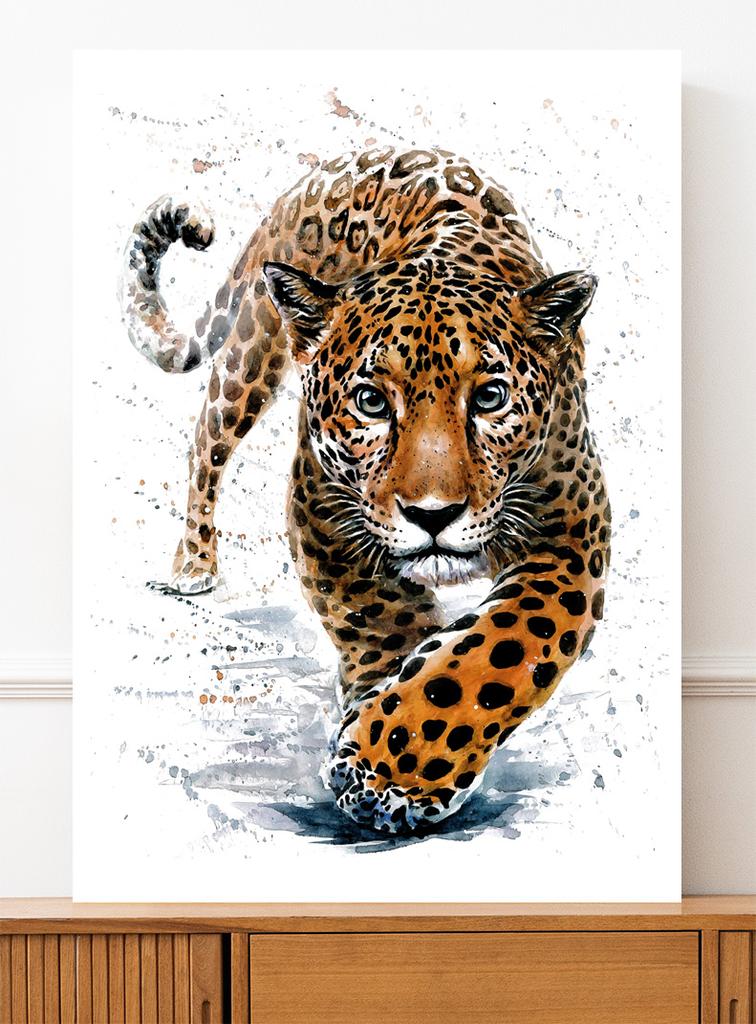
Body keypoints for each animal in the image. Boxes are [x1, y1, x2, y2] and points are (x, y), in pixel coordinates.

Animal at [120, 145, 610, 834]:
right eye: (372, 402)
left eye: (490, 397)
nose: (433, 514)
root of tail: (333, 163)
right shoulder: (323, 512)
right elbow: (383, 620)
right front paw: (384, 748)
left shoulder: (571, 538)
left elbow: (498, 650)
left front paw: (394, 766)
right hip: (252, 351)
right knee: (205, 441)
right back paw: (194, 562)